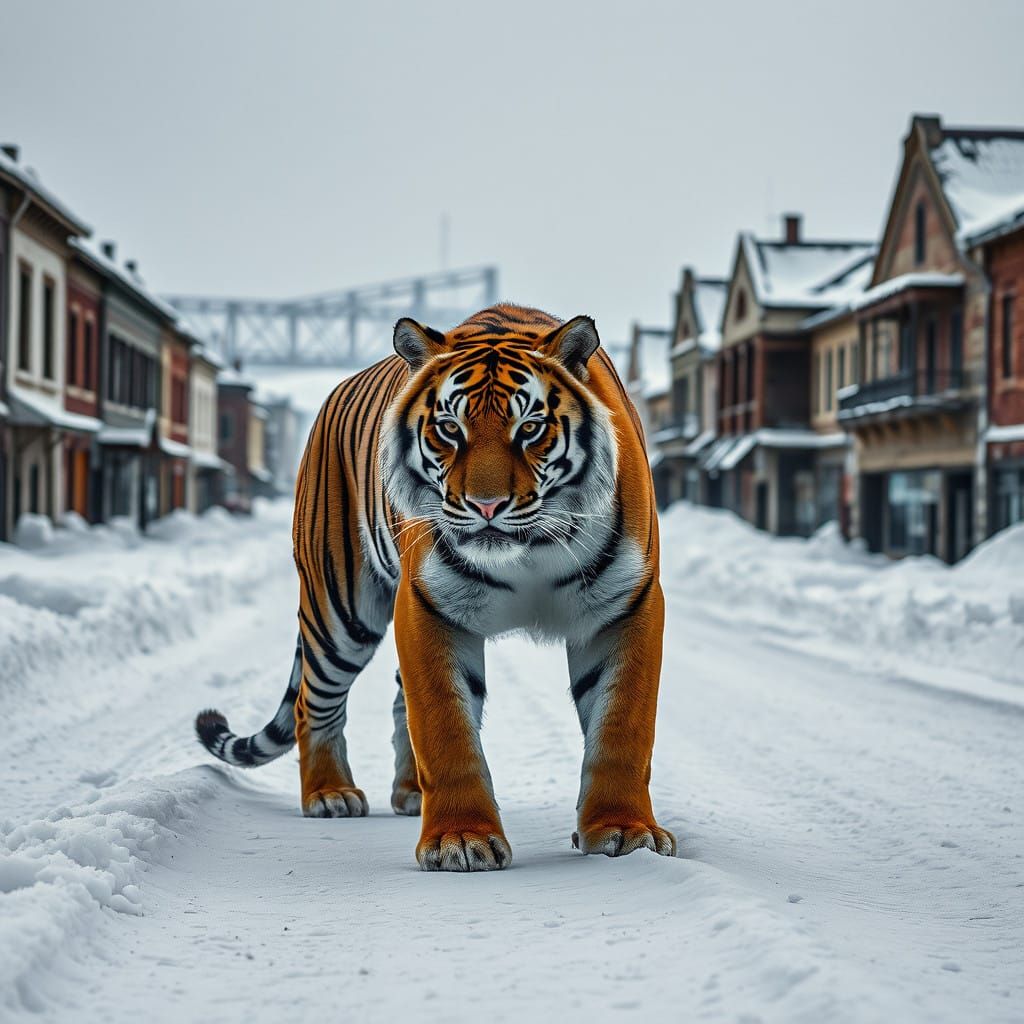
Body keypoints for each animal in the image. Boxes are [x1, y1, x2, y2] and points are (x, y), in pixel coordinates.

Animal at [196, 304, 675, 871]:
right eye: (449, 428)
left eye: (530, 428)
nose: (486, 505)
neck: (531, 548)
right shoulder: (428, 606)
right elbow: (446, 728)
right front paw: (460, 840)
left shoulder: (626, 605)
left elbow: (622, 728)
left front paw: (625, 831)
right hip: (341, 610)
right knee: (312, 701)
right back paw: (330, 794)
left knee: (394, 704)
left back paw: (409, 793)